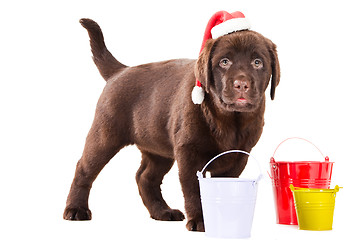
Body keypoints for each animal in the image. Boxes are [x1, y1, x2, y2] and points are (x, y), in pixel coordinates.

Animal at [63, 16, 280, 231]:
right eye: (224, 62)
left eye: (257, 62)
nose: (241, 85)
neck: (230, 118)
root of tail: (120, 71)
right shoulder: (189, 152)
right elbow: (193, 189)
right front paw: (200, 220)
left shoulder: (238, 155)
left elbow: (225, 187)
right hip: (106, 134)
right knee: (84, 167)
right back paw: (75, 209)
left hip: (158, 147)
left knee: (145, 177)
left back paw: (162, 212)